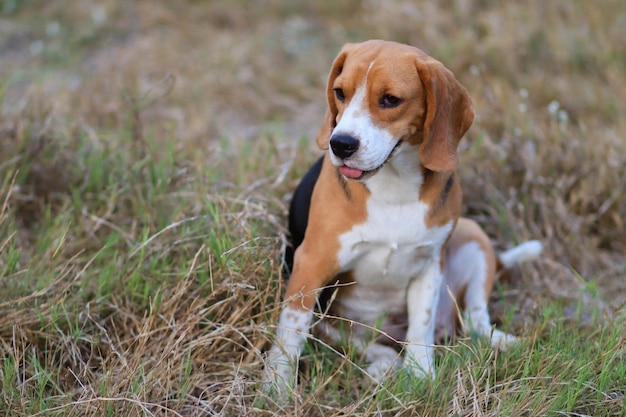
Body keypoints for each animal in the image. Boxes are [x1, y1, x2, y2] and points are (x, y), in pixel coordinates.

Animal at [266, 40, 540, 388]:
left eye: (390, 100)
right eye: (340, 92)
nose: (340, 144)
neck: (393, 185)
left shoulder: (428, 264)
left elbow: (421, 326)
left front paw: (422, 375)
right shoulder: (311, 264)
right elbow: (290, 332)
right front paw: (275, 388)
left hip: (472, 233)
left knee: (474, 318)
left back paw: (506, 343)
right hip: (330, 322)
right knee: (362, 343)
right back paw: (384, 365)